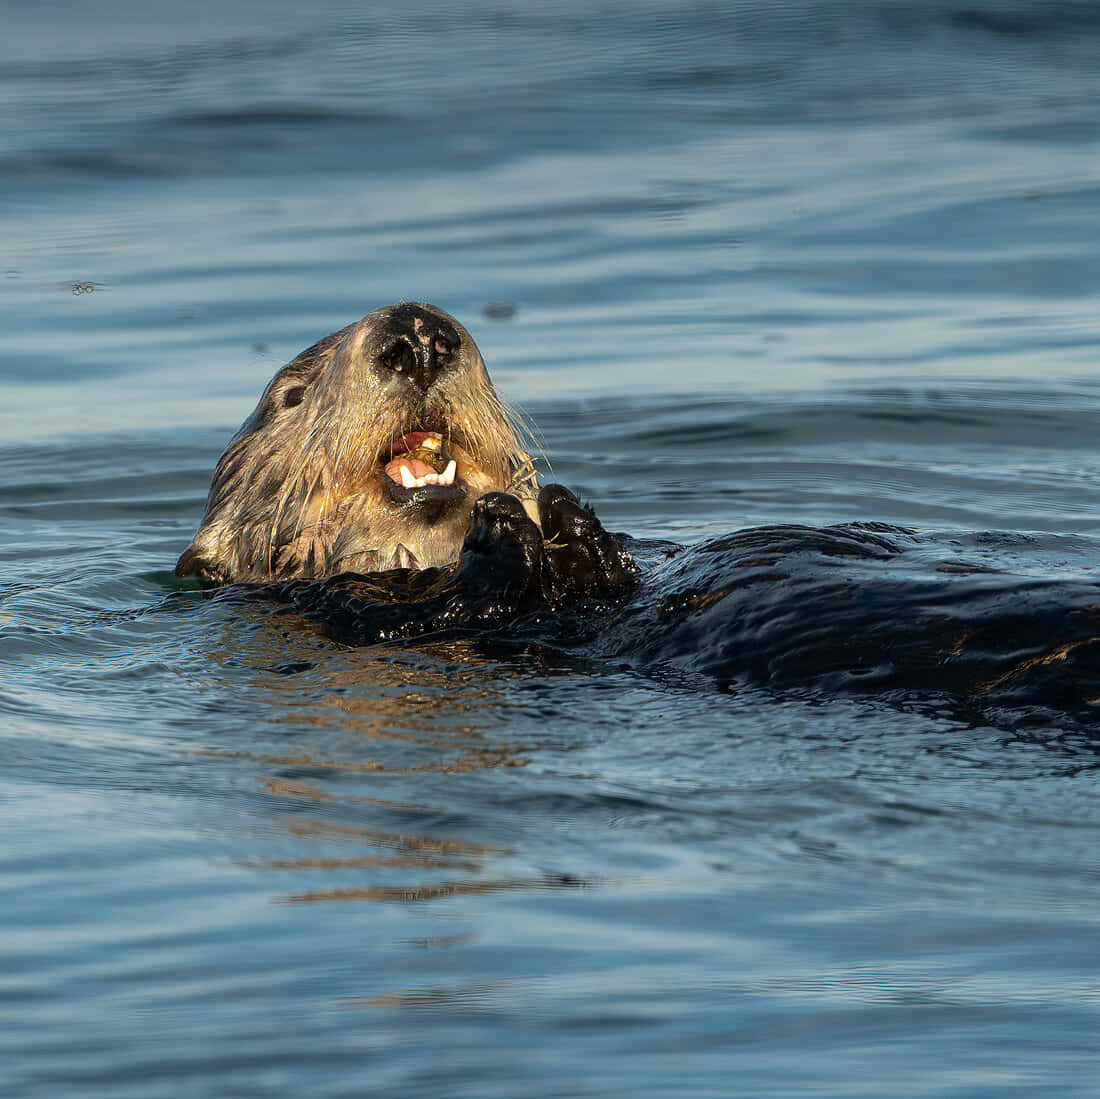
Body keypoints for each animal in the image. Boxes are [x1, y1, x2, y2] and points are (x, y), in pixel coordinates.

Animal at [180, 308, 1100, 721]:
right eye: (292, 397)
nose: (418, 331)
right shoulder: (355, 613)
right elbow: (450, 608)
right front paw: (507, 526)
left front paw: (560, 513)